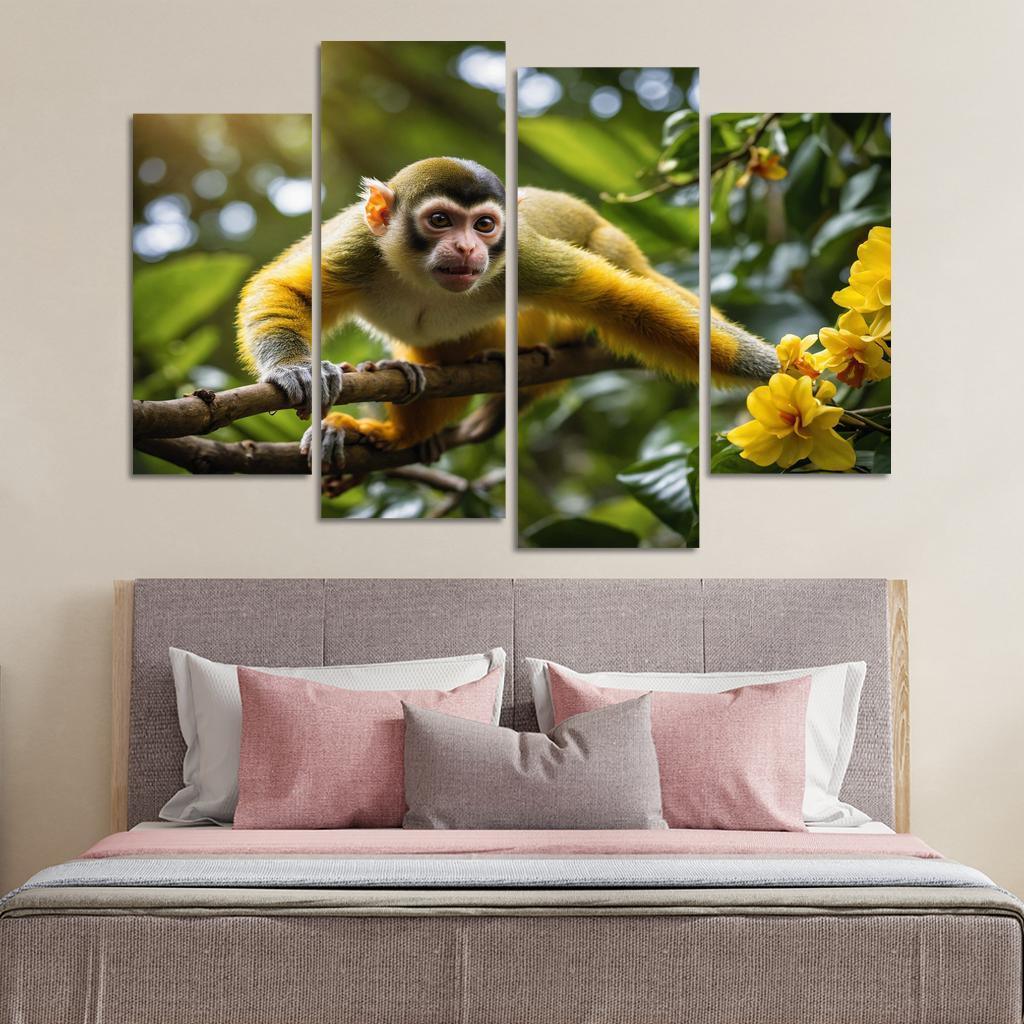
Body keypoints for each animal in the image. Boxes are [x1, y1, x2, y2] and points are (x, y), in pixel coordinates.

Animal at [236, 157, 778, 470]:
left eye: (484, 225)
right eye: (439, 220)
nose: (466, 248)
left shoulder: (518, 256)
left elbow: (619, 302)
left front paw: (777, 370)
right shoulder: (361, 242)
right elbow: (287, 289)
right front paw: (297, 369)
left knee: (615, 263)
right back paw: (395, 419)